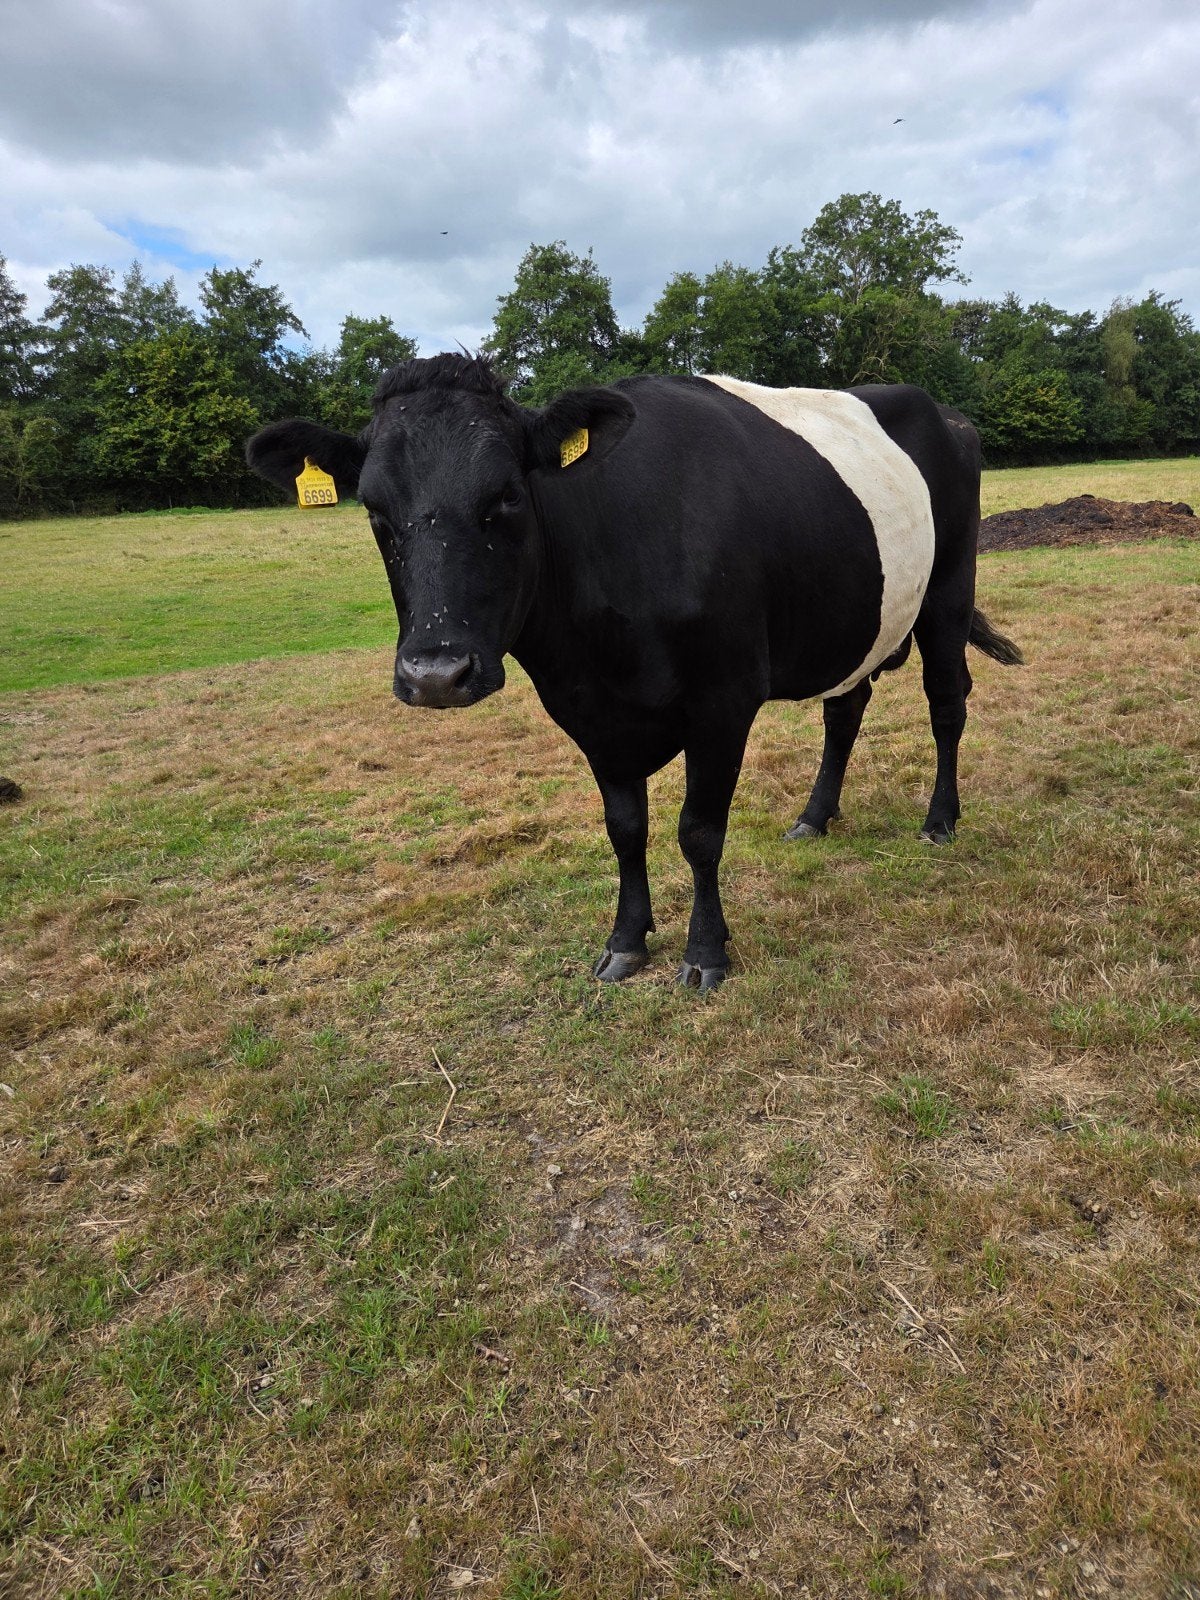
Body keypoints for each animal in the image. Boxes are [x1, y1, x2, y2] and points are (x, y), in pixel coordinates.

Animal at [247, 355, 1021, 991]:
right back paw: (813, 817)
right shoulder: (589, 711)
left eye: (508, 495)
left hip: (947, 590)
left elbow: (699, 831)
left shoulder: (724, 700)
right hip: (855, 619)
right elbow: (625, 828)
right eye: (375, 510)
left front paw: (705, 953)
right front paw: (625, 941)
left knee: (946, 703)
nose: (436, 673)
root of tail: (943, 410)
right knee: (846, 707)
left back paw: (940, 820)